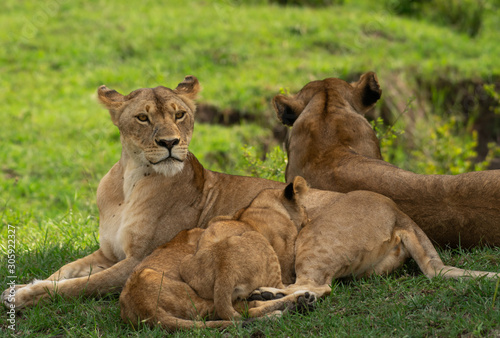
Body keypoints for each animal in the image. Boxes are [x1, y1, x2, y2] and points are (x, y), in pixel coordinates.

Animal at [119, 177, 312, 330]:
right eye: (304, 208)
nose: (310, 219)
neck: (261, 206)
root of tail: (145, 306)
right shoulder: (285, 260)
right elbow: (285, 281)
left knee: (242, 310)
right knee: (250, 307)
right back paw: (298, 300)